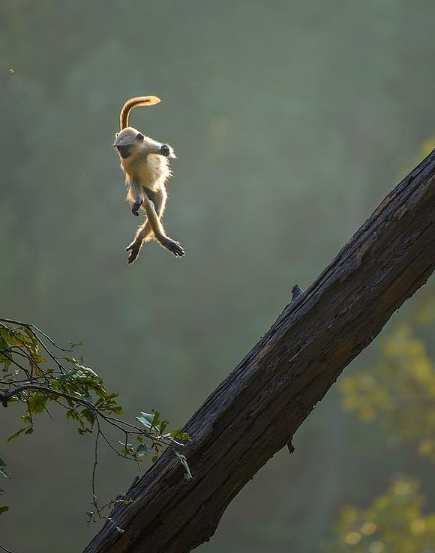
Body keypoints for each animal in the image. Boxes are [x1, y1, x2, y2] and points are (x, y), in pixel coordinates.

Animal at [113, 95, 185, 264]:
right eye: (119, 148)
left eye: (125, 147)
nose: (122, 153)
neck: (135, 154)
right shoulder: (127, 164)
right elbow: (134, 180)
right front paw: (138, 203)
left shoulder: (146, 146)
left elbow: (165, 151)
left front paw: (165, 149)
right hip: (144, 190)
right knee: (150, 206)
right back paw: (159, 239)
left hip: (158, 190)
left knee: (157, 208)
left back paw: (142, 241)